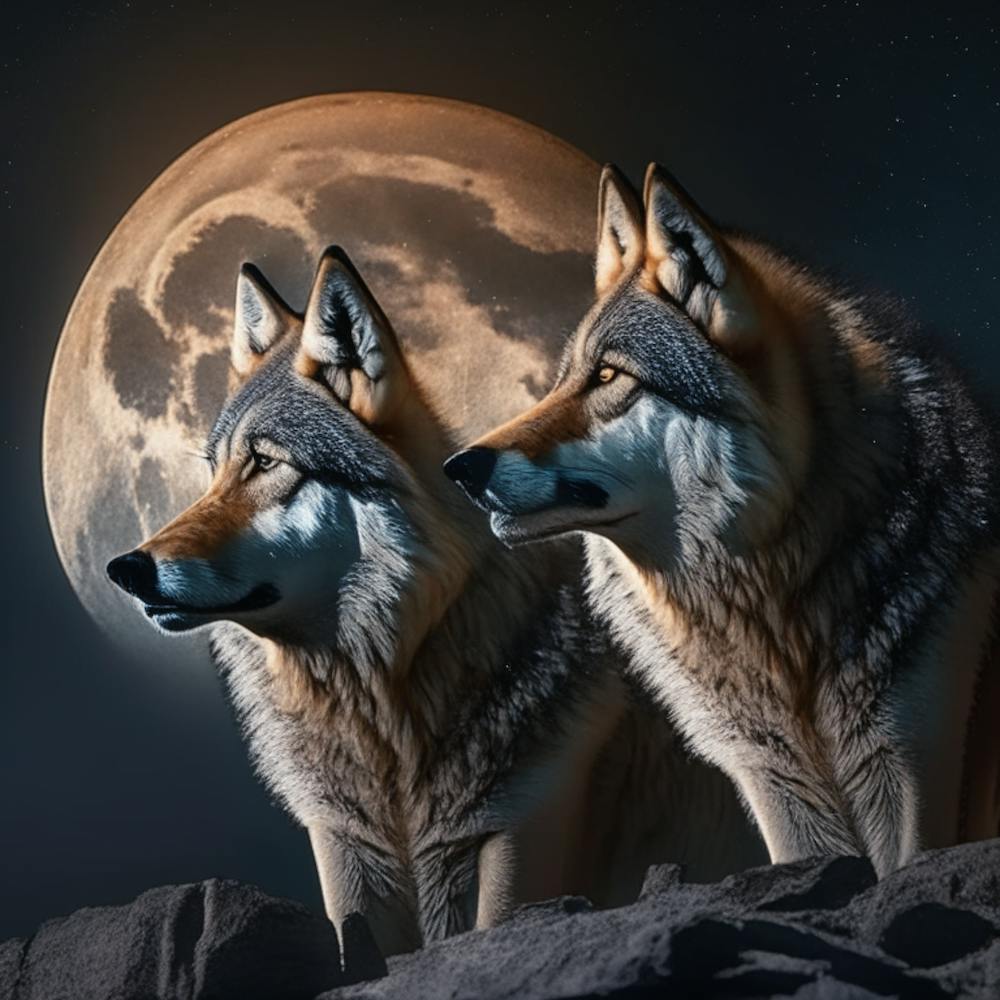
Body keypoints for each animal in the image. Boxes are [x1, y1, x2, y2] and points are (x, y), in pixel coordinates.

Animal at [106, 246, 762, 962]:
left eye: (265, 463)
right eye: (215, 471)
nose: (124, 568)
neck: (385, 720)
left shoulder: (518, 839)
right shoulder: (346, 854)